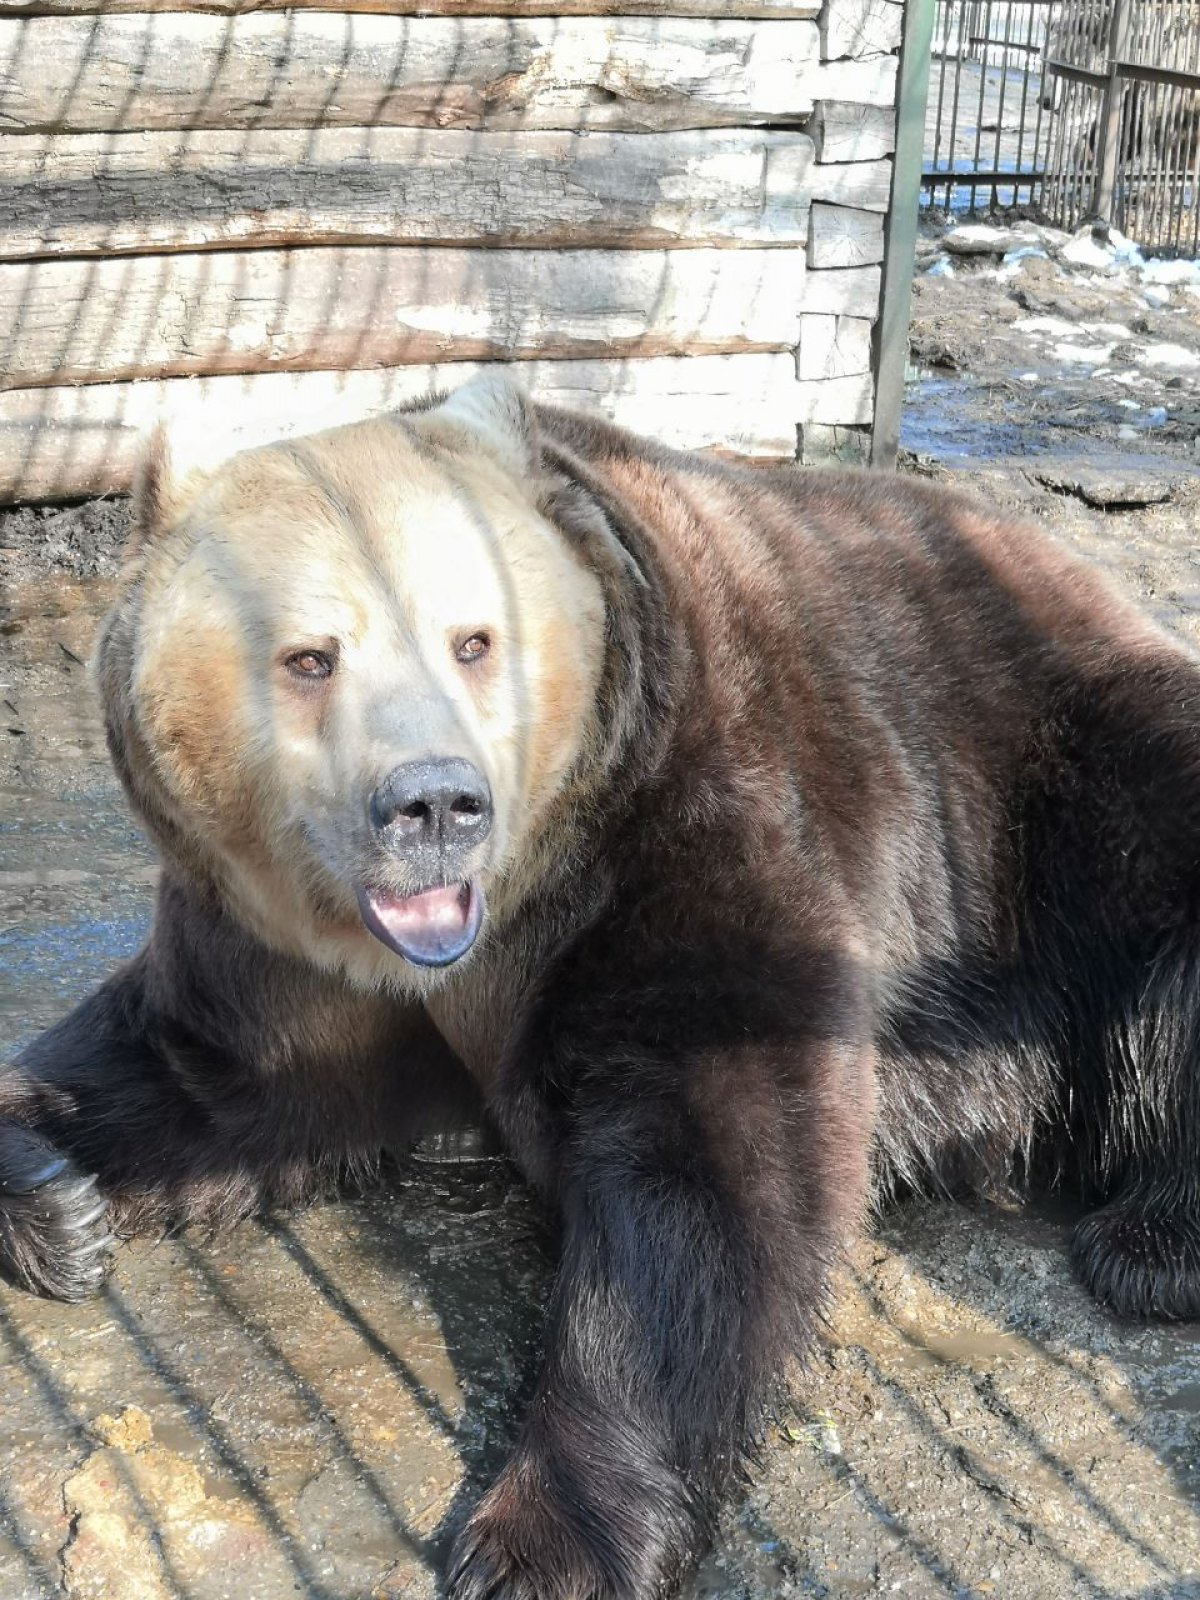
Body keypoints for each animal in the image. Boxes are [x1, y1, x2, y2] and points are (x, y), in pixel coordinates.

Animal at [2, 374, 1200, 1600]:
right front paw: (56, 1199)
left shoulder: (679, 812)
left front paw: (543, 1538)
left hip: (1064, 804)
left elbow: (703, 1155)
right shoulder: (279, 940)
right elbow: (200, 1070)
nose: (435, 804)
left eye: (474, 639)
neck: (479, 939)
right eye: (310, 656)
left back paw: (1151, 1243)